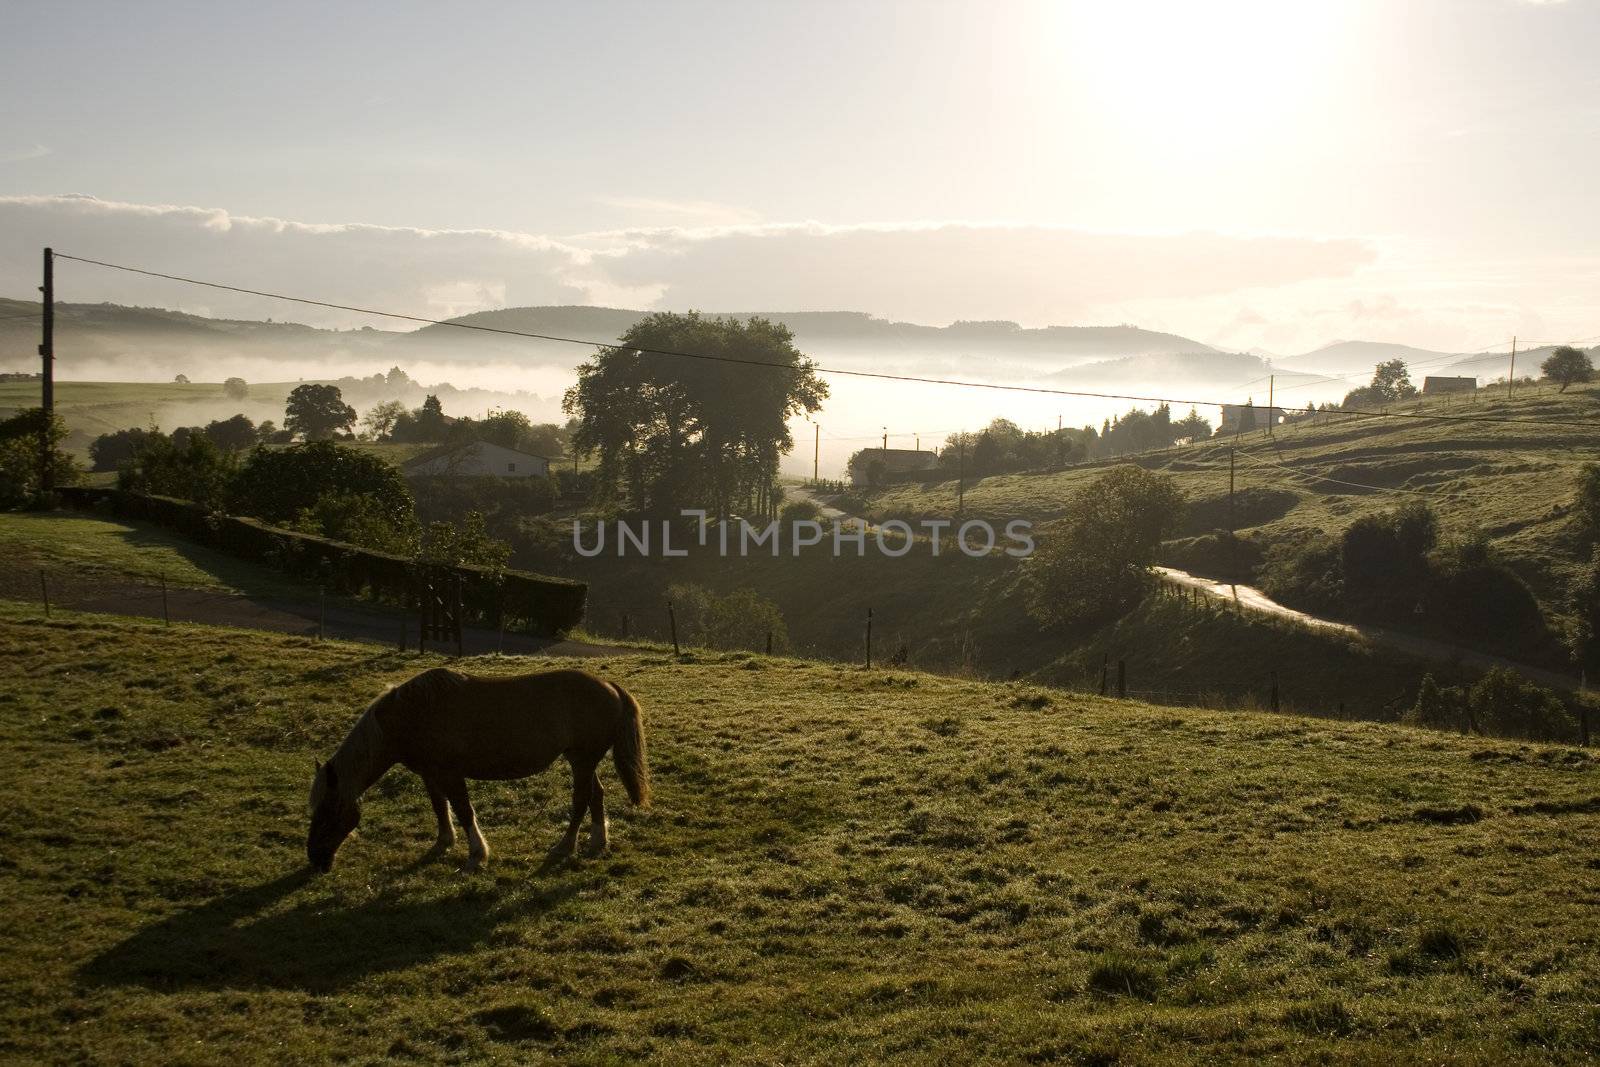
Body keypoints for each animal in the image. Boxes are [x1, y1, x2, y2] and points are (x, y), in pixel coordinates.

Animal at [305, 668, 649, 876]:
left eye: (327, 813)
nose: (316, 861)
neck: (413, 714)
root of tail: (611, 687)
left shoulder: (451, 774)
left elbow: (463, 810)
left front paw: (476, 855)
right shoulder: (430, 774)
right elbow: (440, 808)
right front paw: (443, 842)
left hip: (582, 760)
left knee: (580, 801)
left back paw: (565, 846)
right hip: (582, 761)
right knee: (595, 795)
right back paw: (597, 841)